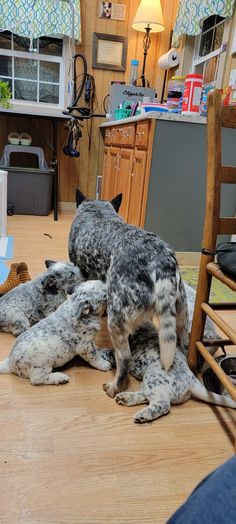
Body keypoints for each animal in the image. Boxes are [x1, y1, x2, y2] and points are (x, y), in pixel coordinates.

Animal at [68, 191, 188, 398]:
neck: (97, 210)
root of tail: (160, 262)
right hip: (180, 316)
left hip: (115, 323)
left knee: (124, 357)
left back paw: (114, 387)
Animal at [115, 284, 236, 424]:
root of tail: (192, 380)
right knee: (146, 395)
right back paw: (126, 398)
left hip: (153, 378)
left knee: (162, 404)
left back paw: (142, 415)